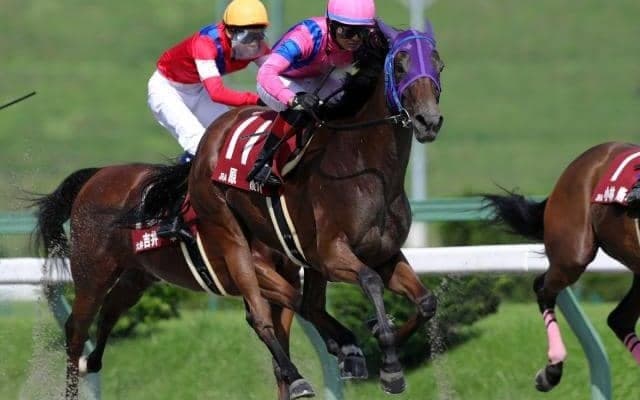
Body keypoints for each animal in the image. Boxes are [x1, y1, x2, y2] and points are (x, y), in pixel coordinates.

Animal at [32, 163, 323, 400]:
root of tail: (97, 175)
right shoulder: (249, 267)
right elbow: (278, 314)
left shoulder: (286, 275)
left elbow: (282, 341)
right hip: (93, 272)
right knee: (76, 329)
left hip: (138, 276)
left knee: (110, 311)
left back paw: (91, 362)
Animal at [127, 20, 445, 394]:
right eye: (399, 65)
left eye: (439, 65)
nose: (428, 121)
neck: (367, 169)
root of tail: (213, 135)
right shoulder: (331, 255)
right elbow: (369, 281)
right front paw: (391, 363)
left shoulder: (384, 253)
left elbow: (426, 301)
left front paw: (383, 345)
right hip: (230, 235)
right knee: (260, 315)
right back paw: (297, 377)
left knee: (307, 304)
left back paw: (345, 347)